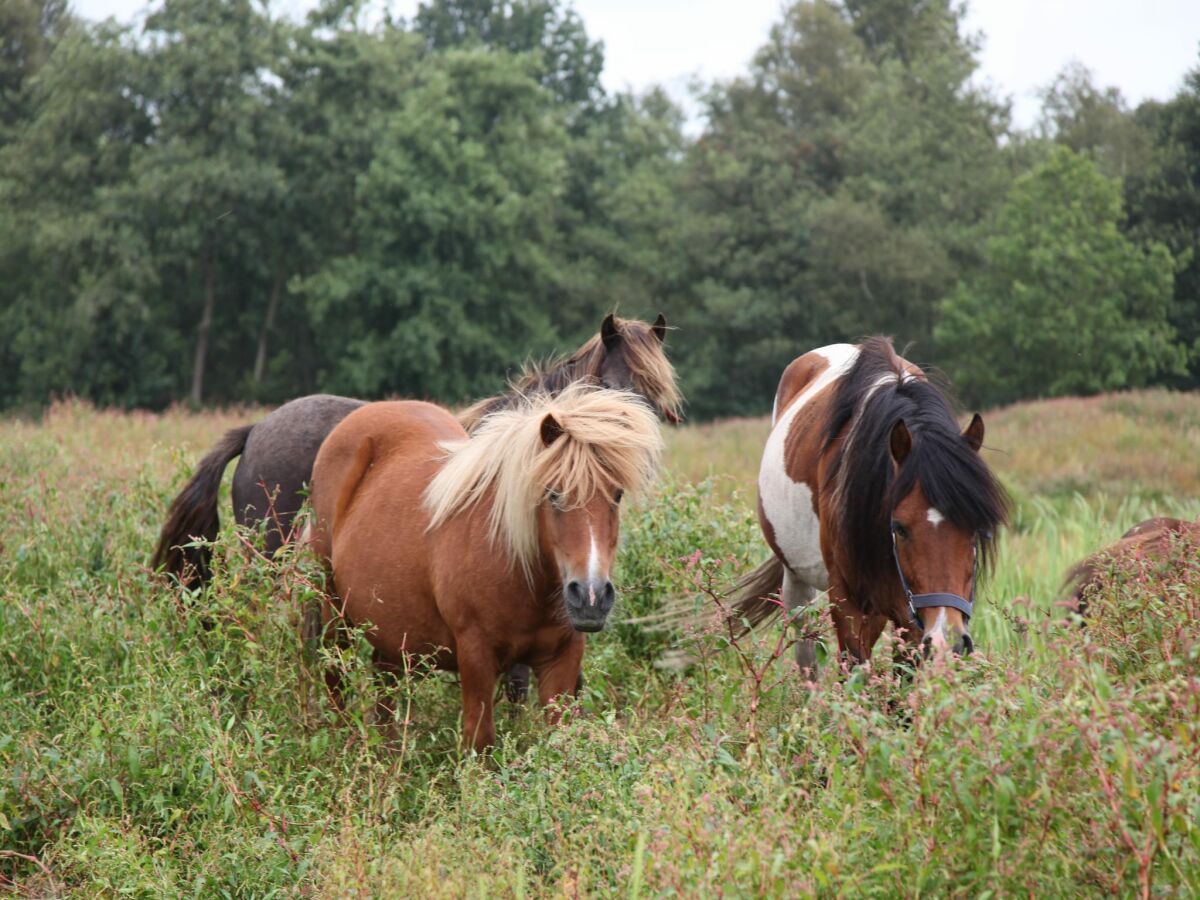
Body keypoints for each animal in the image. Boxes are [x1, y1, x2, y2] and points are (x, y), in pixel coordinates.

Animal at [307, 384, 667, 748]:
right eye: (553, 494)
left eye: (616, 495)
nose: (591, 598)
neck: (520, 572)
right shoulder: (476, 657)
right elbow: (480, 739)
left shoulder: (561, 660)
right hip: (333, 611)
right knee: (336, 677)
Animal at [724, 340, 1008, 672]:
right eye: (899, 527)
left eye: (977, 528)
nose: (945, 641)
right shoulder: (849, 604)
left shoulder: (910, 619)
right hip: (797, 582)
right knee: (806, 647)